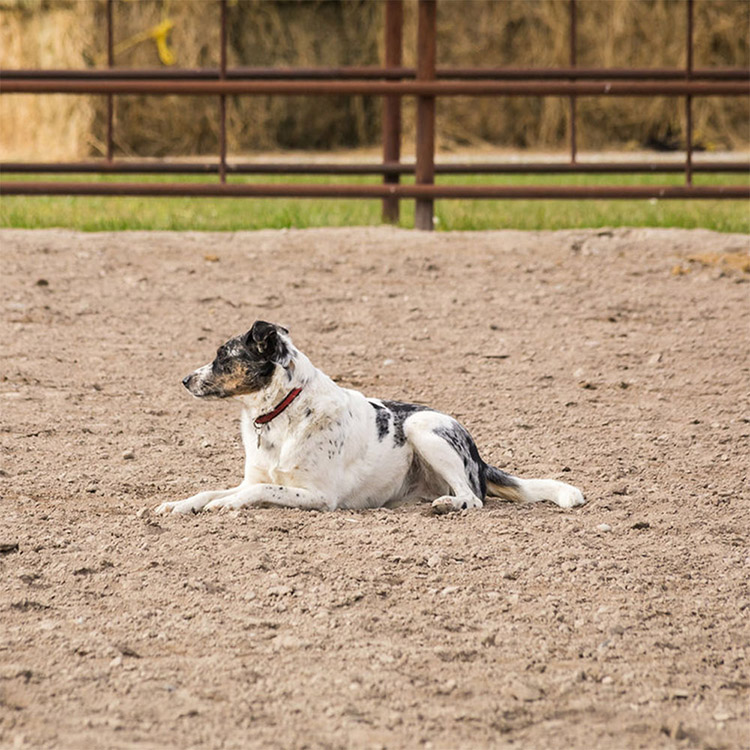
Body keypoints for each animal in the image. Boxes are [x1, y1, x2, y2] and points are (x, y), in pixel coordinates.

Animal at [154, 324, 588, 516]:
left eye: (222, 357)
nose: (184, 380)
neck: (282, 414)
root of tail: (479, 459)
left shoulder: (319, 496)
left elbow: (254, 492)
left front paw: (222, 506)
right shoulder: (255, 478)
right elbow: (209, 492)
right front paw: (179, 504)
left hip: (422, 427)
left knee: (474, 497)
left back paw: (450, 504)